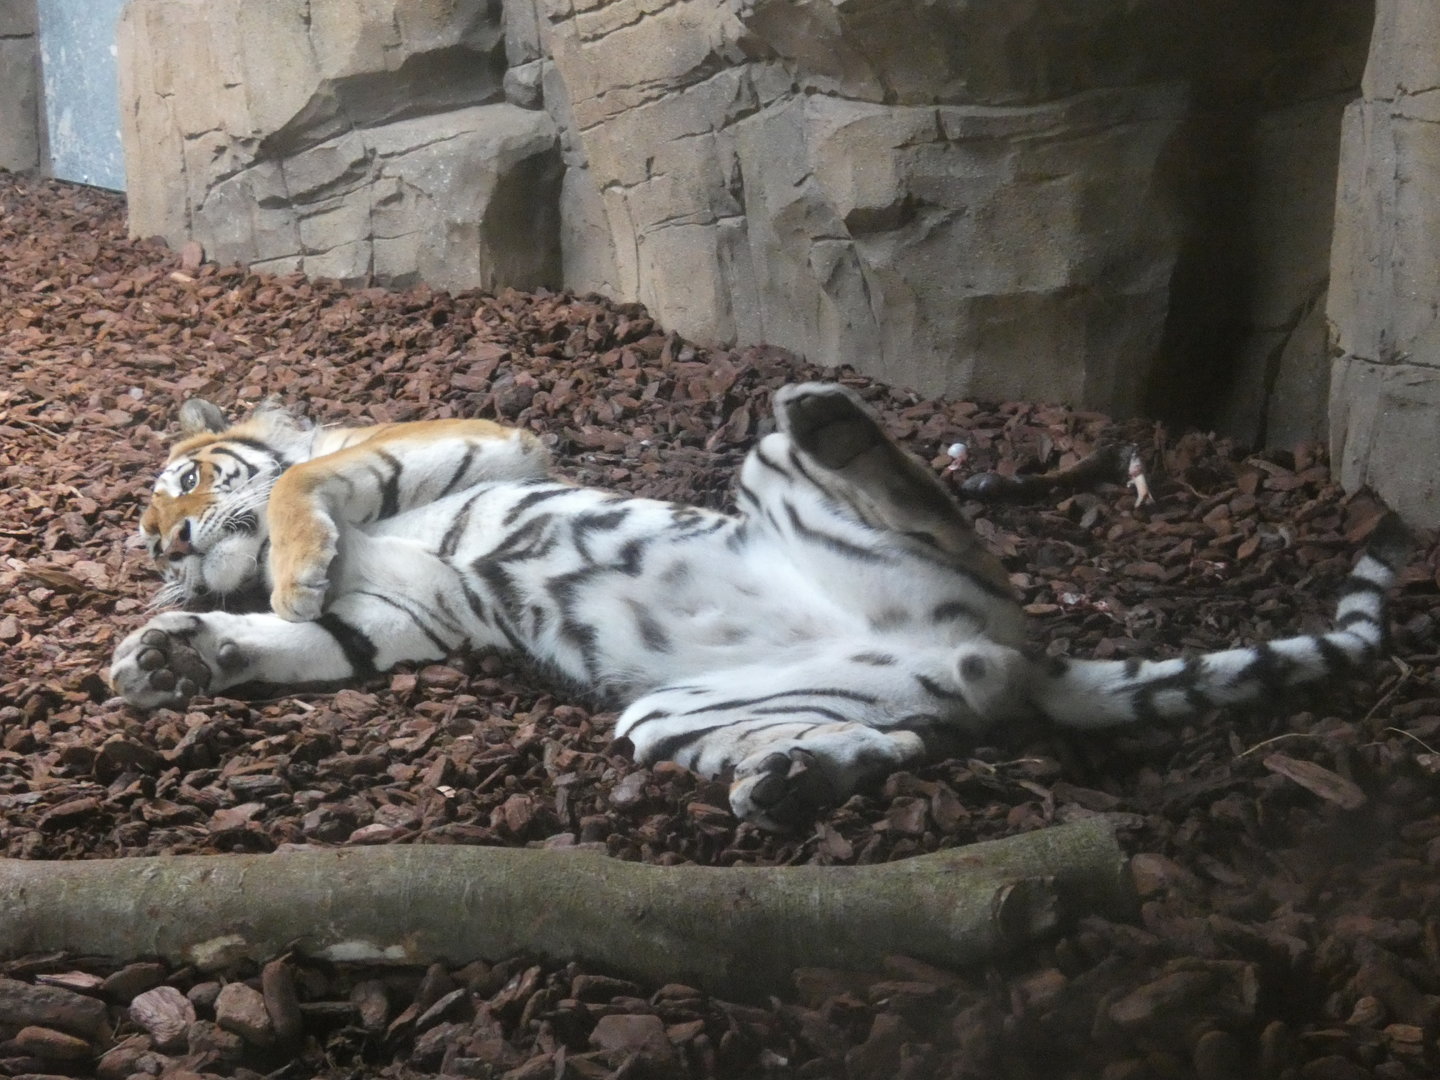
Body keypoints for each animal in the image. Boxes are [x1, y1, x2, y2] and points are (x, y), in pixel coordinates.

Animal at [110, 383, 1410, 830]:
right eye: (157, 539)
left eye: (180, 485)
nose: (169, 551)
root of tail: (1013, 655)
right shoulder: (407, 616)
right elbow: (303, 637)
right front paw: (172, 654)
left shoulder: (474, 439)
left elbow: (303, 485)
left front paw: (284, 565)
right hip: (676, 712)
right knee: (903, 741)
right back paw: (791, 780)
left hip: (786, 481)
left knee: (915, 491)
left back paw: (827, 411)